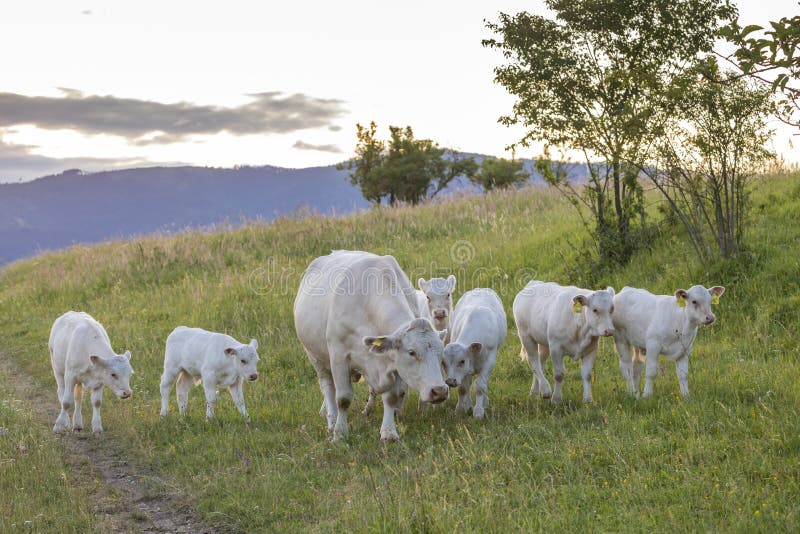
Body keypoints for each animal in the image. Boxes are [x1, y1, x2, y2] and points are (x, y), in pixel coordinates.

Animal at [296, 251, 450, 444]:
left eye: (441, 354)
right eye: (412, 352)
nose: (440, 391)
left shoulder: (392, 362)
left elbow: (392, 397)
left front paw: (389, 432)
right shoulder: (339, 356)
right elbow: (343, 398)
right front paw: (339, 433)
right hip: (315, 357)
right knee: (328, 386)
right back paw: (331, 419)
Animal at [438, 288, 506, 418]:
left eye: (462, 361)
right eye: (443, 363)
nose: (450, 381)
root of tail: (481, 289)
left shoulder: (489, 361)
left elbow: (480, 386)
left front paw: (478, 411)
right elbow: (463, 388)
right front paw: (461, 409)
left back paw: (484, 402)